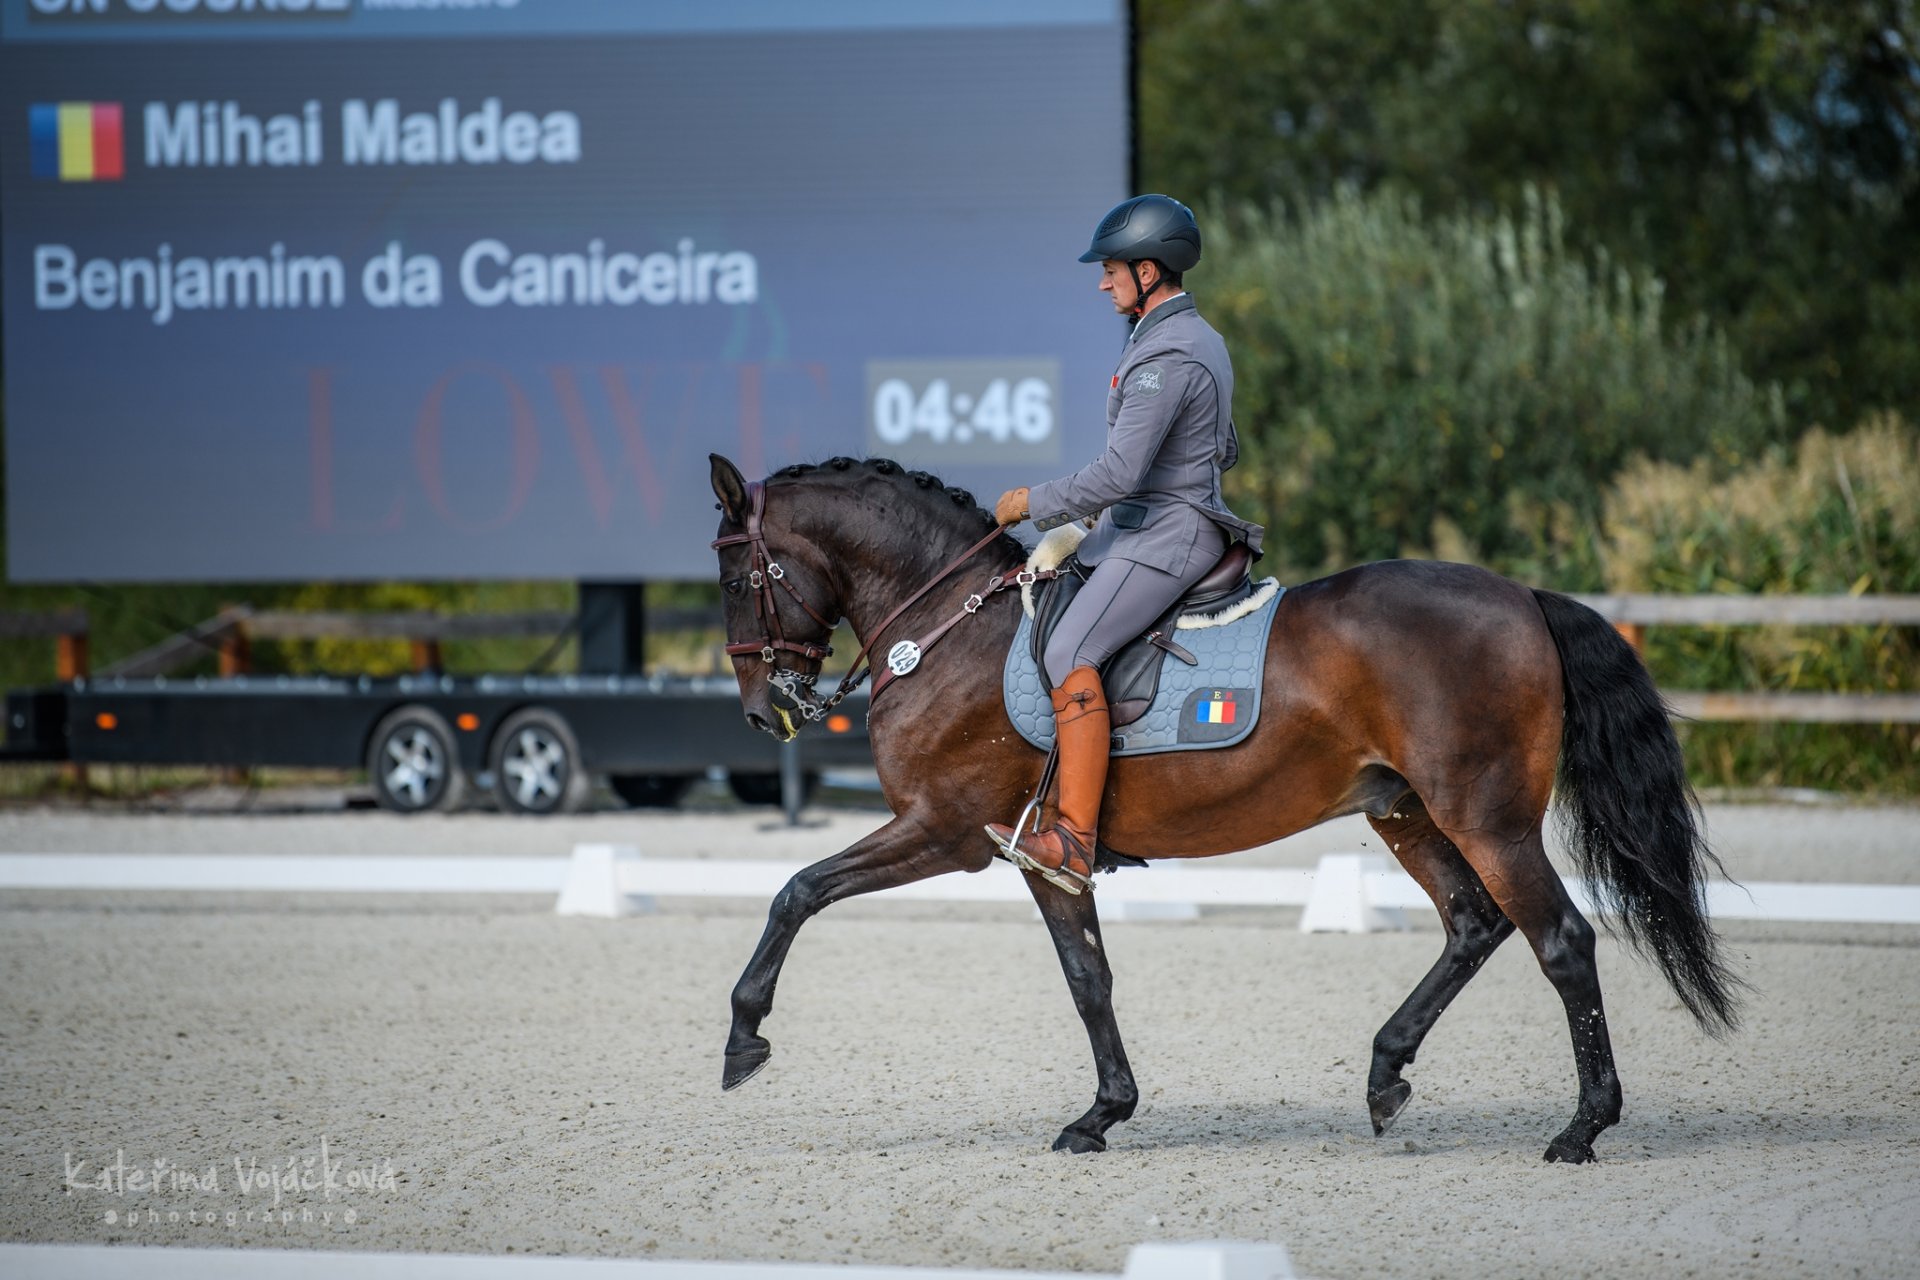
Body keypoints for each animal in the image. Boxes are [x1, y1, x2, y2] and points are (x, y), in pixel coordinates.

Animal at [706, 454, 1743, 1166]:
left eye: (737, 578)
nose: (762, 712)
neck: (950, 625)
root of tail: (1523, 597)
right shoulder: (1042, 854)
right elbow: (1088, 978)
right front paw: (1103, 1114)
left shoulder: (944, 831)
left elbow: (798, 890)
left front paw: (744, 1038)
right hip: (1407, 813)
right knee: (1473, 923)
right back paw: (1386, 1074)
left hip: (1486, 818)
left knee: (1559, 941)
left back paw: (1581, 1128)